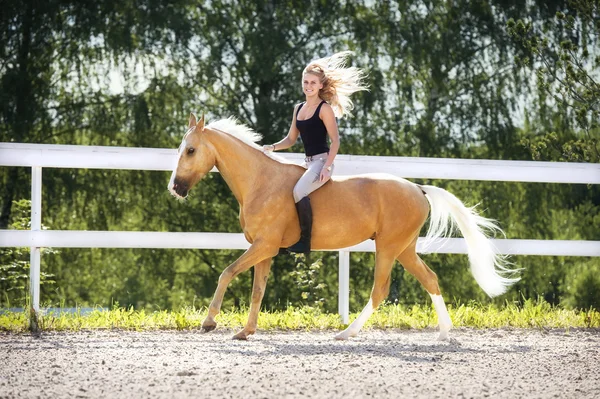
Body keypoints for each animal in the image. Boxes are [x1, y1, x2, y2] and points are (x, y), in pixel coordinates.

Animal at [170, 114, 520, 342]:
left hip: (388, 248)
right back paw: (446, 335)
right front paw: (246, 331)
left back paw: (346, 333)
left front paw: (209, 322)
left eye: (191, 150)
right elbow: (258, 290)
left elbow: (226, 272)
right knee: (430, 280)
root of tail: (418, 189)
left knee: (380, 291)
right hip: (405, 249)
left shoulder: (263, 246)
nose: (175, 188)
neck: (261, 182)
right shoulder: (264, 250)